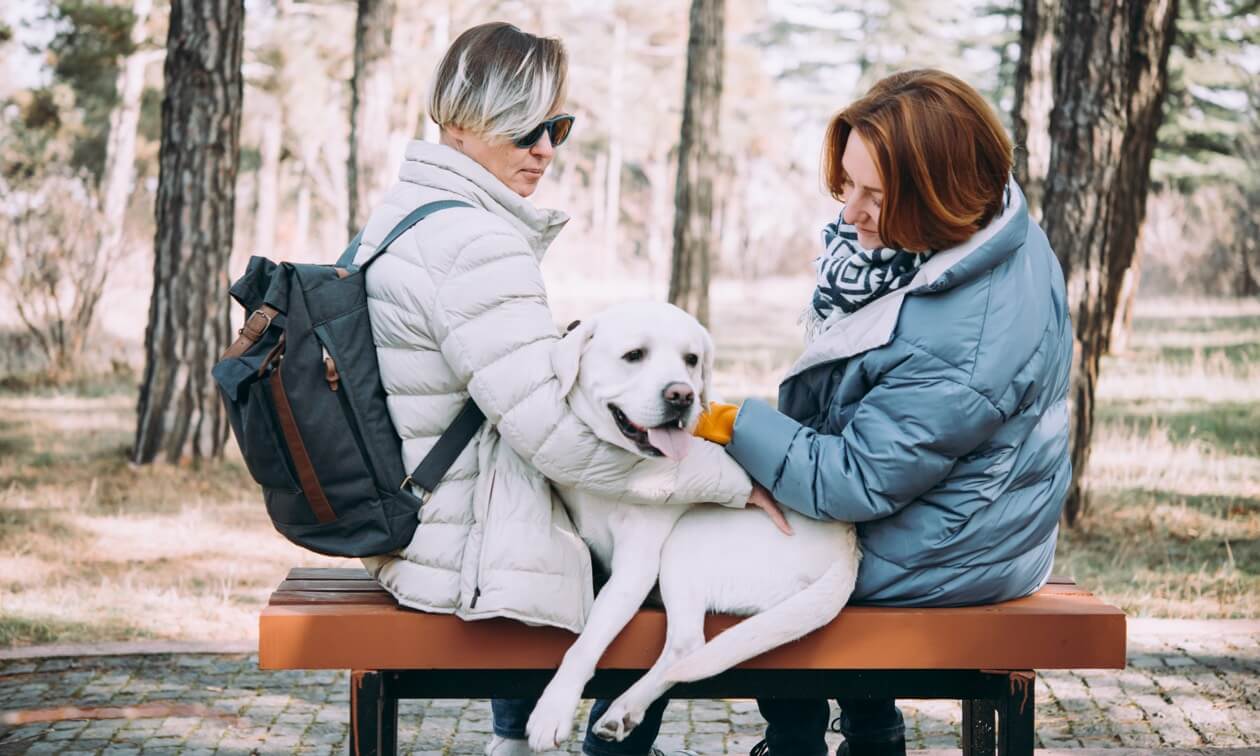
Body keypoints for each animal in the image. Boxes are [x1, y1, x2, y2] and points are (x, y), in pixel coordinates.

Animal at [524, 301, 866, 750]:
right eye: (634, 355)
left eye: (691, 359)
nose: (682, 395)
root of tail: (849, 552)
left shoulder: (635, 568)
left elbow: (586, 643)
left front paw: (553, 709)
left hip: (684, 541)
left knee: (686, 647)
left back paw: (624, 708)